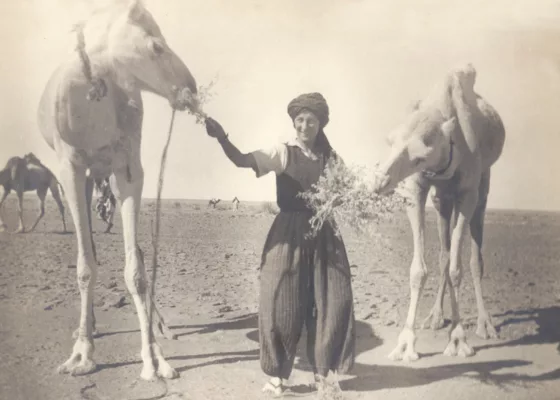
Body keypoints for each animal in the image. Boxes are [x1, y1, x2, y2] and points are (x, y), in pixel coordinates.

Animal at [36, 0, 199, 380]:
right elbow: (85, 266)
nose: (190, 86)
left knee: (134, 251)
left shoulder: (127, 168)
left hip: (107, 172)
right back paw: (88, 327)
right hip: (83, 177)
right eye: (156, 46)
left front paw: (154, 358)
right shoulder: (69, 167)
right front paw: (82, 354)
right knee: (90, 246)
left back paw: (161, 326)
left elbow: (135, 269)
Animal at [374, 63, 506, 362]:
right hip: (443, 200)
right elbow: (419, 269)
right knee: (444, 255)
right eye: (390, 141)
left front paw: (458, 339)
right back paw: (435, 317)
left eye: (419, 157)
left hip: (482, 185)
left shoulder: (467, 193)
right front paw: (405, 343)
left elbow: (458, 268)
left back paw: (485, 325)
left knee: (474, 258)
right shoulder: (417, 188)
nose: (379, 181)